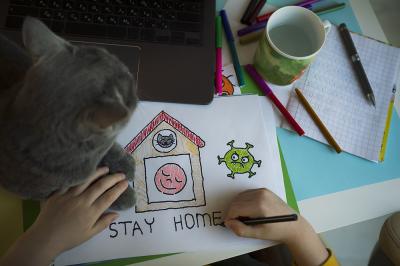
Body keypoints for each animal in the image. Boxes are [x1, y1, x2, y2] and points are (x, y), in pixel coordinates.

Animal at [0, 17, 138, 211]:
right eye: (129, 89)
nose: (132, 76)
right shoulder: (46, 192)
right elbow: (88, 183)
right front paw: (121, 194)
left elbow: (108, 148)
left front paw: (123, 163)